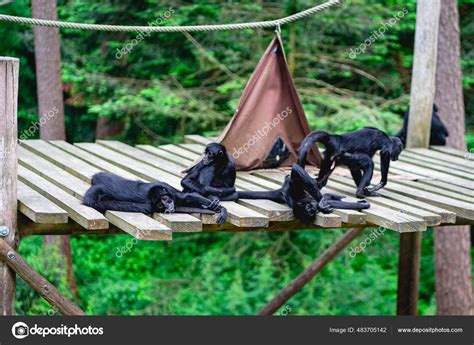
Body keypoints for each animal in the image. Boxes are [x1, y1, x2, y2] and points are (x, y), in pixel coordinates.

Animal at [83, 171, 228, 224]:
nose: (167, 205)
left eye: (165, 199)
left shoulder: (167, 188)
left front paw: (220, 209)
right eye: (160, 204)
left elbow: (187, 196)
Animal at [237, 163, 370, 223]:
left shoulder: (296, 190)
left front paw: (323, 203)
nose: (312, 210)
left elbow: (295, 169)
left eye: (308, 208)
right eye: (308, 212)